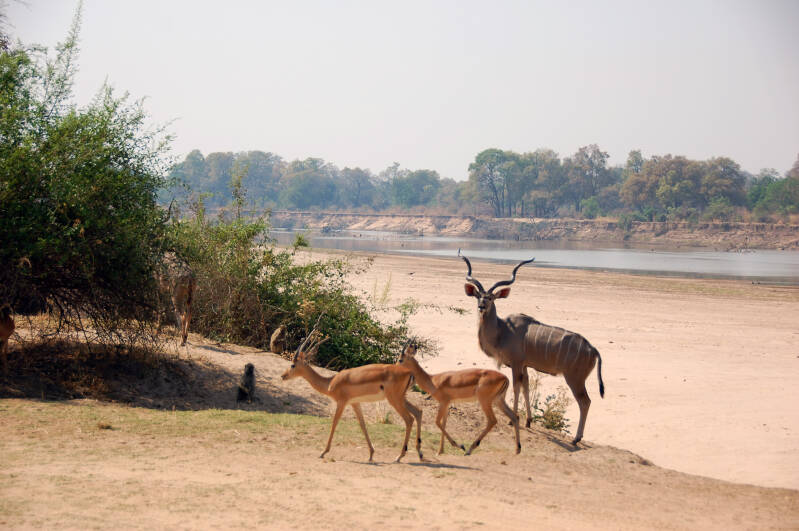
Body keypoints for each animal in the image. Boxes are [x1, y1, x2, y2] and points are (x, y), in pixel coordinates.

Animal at [280, 325, 424, 462]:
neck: (330, 382)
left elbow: (334, 422)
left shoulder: (342, 402)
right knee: (418, 412)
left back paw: (399, 456)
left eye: (293, 365)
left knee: (409, 419)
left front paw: (323, 452)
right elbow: (362, 424)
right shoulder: (355, 403)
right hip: (401, 398)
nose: (283, 376)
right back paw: (419, 454)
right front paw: (371, 454)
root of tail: (409, 372)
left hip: (394, 399)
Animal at [459, 251, 605, 445]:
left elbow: (515, 387)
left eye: (490, 298)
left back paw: (576, 438)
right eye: (478, 296)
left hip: (575, 379)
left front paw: (512, 420)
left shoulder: (516, 364)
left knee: (585, 402)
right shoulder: (525, 366)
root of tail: (593, 349)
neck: (503, 330)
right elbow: (526, 387)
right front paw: (528, 421)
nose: (481, 306)